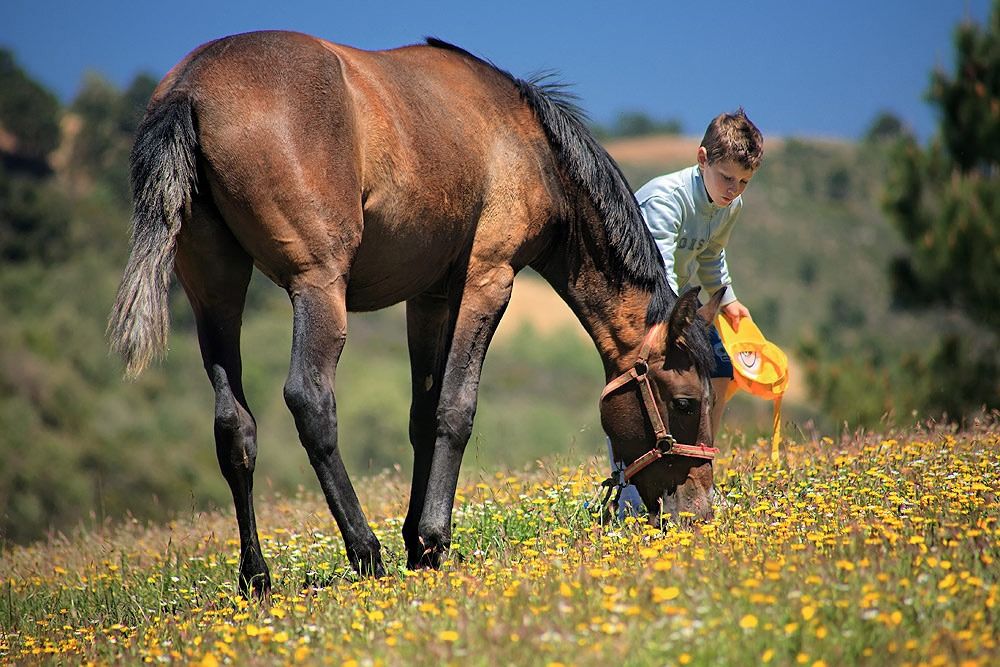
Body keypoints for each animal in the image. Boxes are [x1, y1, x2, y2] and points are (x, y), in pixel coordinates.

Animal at [108, 30, 724, 597]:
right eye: (686, 402)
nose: (699, 512)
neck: (532, 146)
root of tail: (190, 89)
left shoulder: (428, 298)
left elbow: (422, 415)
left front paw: (416, 544)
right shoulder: (487, 280)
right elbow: (455, 409)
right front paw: (432, 538)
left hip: (216, 293)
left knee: (234, 427)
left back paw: (256, 576)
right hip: (317, 288)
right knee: (311, 401)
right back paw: (364, 551)